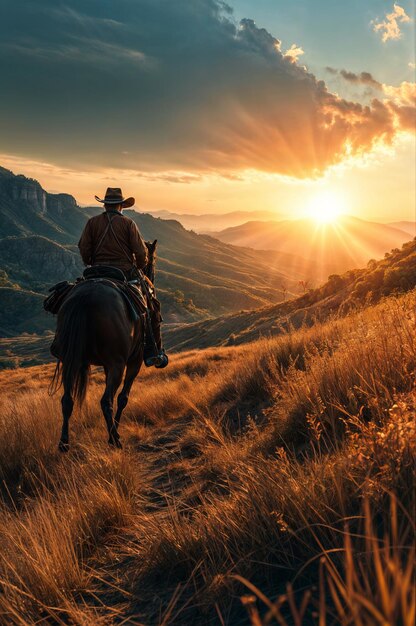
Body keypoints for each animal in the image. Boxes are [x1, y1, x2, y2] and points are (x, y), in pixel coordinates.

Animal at [50, 239, 158, 448]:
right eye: (154, 260)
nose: (152, 281)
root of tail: (85, 297)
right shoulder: (133, 361)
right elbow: (123, 398)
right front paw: (114, 431)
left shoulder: (108, 365)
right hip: (118, 363)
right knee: (105, 401)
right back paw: (115, 439)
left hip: (70, 361)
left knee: (67, 399)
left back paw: (64, 442)